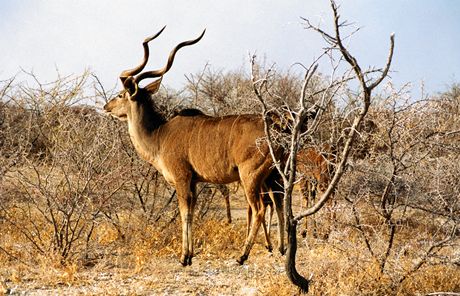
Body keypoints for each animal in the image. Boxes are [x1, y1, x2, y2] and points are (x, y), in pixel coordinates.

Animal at [103, 27, 284, 264]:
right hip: (273, 176)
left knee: (260, 208)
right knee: (280, 203)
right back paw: (282, 248)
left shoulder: (182, 178)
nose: (106, 107)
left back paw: (243, 255)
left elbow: (184, 212)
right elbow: (192, 211)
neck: (159, 135)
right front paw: (190, 254)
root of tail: (275, 129)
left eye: (120, 94)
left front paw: (184, 257)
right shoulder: (194, 182)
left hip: (250, 177)